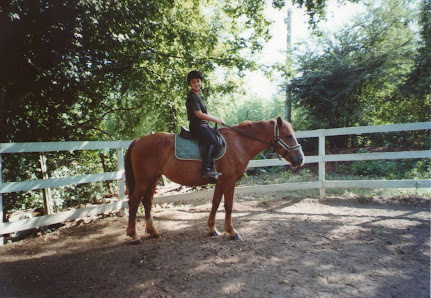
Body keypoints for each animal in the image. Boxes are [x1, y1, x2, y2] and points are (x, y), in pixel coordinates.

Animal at [125, 116, 306, 242]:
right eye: (288, 136)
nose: (300, 159)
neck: (238, 143)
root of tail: (139, 140)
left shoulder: (220, 181)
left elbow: (216, 203)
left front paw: (212, 229)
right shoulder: (229, 181)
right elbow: (228, 205)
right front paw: (232, 231)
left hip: (153, 179)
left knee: (147, 202)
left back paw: (153, 232)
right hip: (143, 180)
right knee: (134, 202)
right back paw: (134, 236)